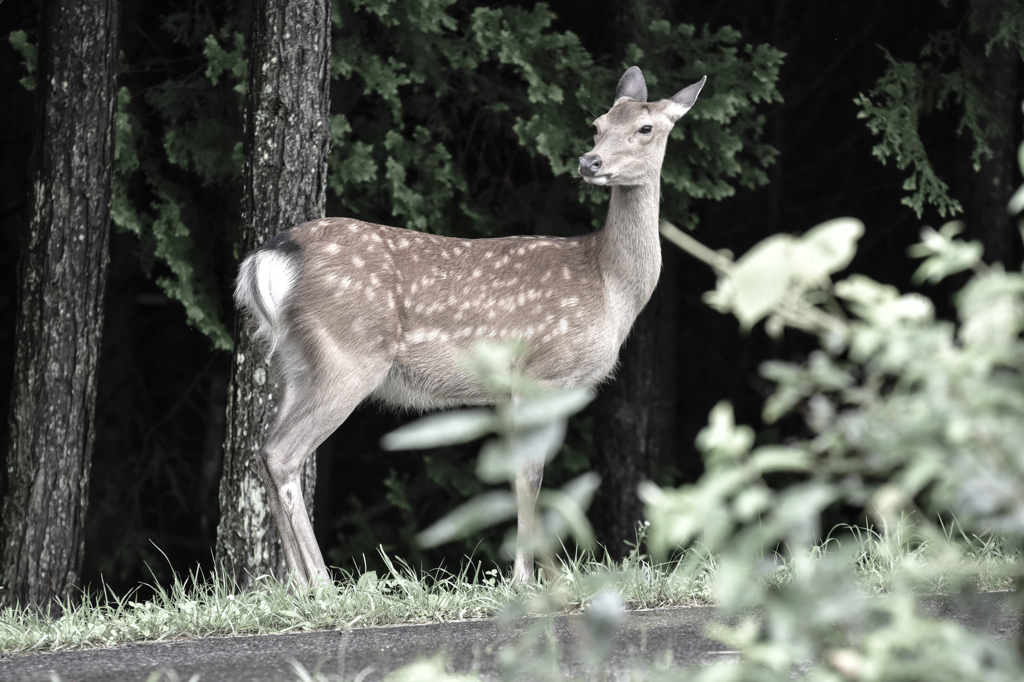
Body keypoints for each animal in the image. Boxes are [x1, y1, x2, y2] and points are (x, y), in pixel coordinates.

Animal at [235, 66, 708, 581]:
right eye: (597, 125)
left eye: (645, 128)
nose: (591, 161)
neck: (610, 287)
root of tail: (269, 257)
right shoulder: (541, 371)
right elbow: (529, 475)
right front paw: (526, 577)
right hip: (350, 355)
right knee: (283, 453)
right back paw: (321, 582)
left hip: (296, 363)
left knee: (263, 449)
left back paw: (296, 583)